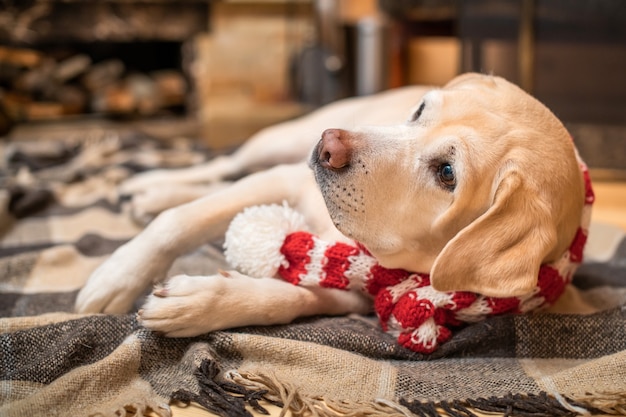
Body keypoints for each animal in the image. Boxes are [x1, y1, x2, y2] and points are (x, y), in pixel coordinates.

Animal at [75, 74, 588, 342]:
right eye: (420, 111)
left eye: (447, 173)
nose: (329, 147)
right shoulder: (283, 179)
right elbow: (179, 222)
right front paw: (116, 277)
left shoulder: (362, 290)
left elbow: (291, 296)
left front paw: (202, 302)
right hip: (279, 141)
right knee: (221, 166)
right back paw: (147, 186)